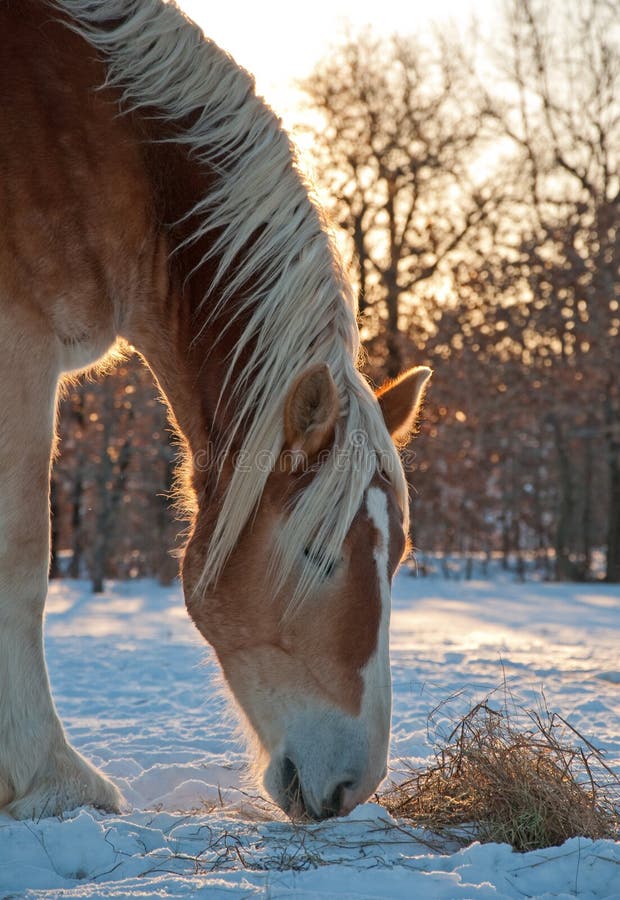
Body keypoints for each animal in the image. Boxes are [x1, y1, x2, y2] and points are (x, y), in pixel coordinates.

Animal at [0, 0, 430, 821]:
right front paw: (50, 780)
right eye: (317, 555)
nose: (353, 788)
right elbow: (24, 559)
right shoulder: (19, 344)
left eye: (398, 558)